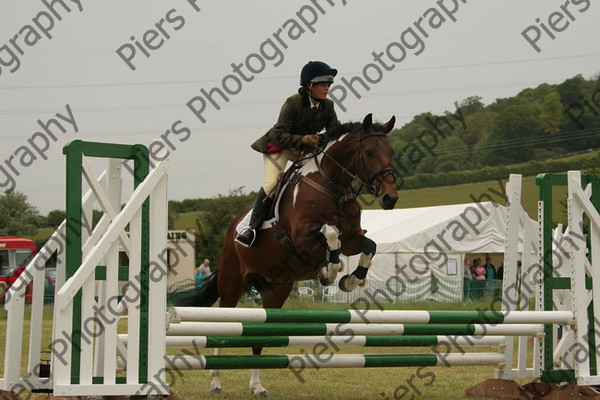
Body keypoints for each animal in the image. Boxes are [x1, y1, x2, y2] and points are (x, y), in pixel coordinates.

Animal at [183, 113, 398, 396]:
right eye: (370, 152)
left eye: (391, 152)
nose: (390, 198)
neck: (332, 187)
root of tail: (231, 231)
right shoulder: (301, 238)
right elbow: (331, 232)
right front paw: (330, 271)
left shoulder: (353, 239)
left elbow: (368, 245)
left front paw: (351, 280)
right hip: (232, 283)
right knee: (223, 329)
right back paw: (216, 382)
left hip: (275, 290)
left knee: (260, 337)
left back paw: (257, 386)